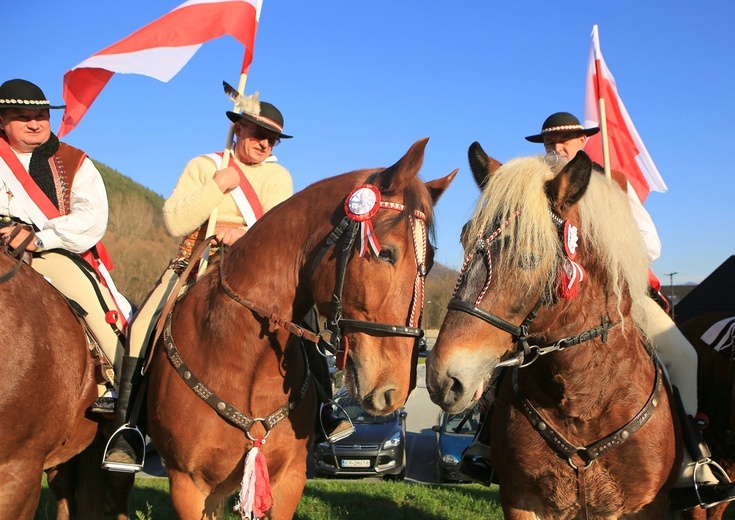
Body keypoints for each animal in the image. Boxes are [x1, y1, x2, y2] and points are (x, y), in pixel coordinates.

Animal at [428, 143, 680, 520]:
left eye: (530, 256)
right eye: (464, 240)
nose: (443, 377)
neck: (584, 397)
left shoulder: (645, 506)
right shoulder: (521, 499)